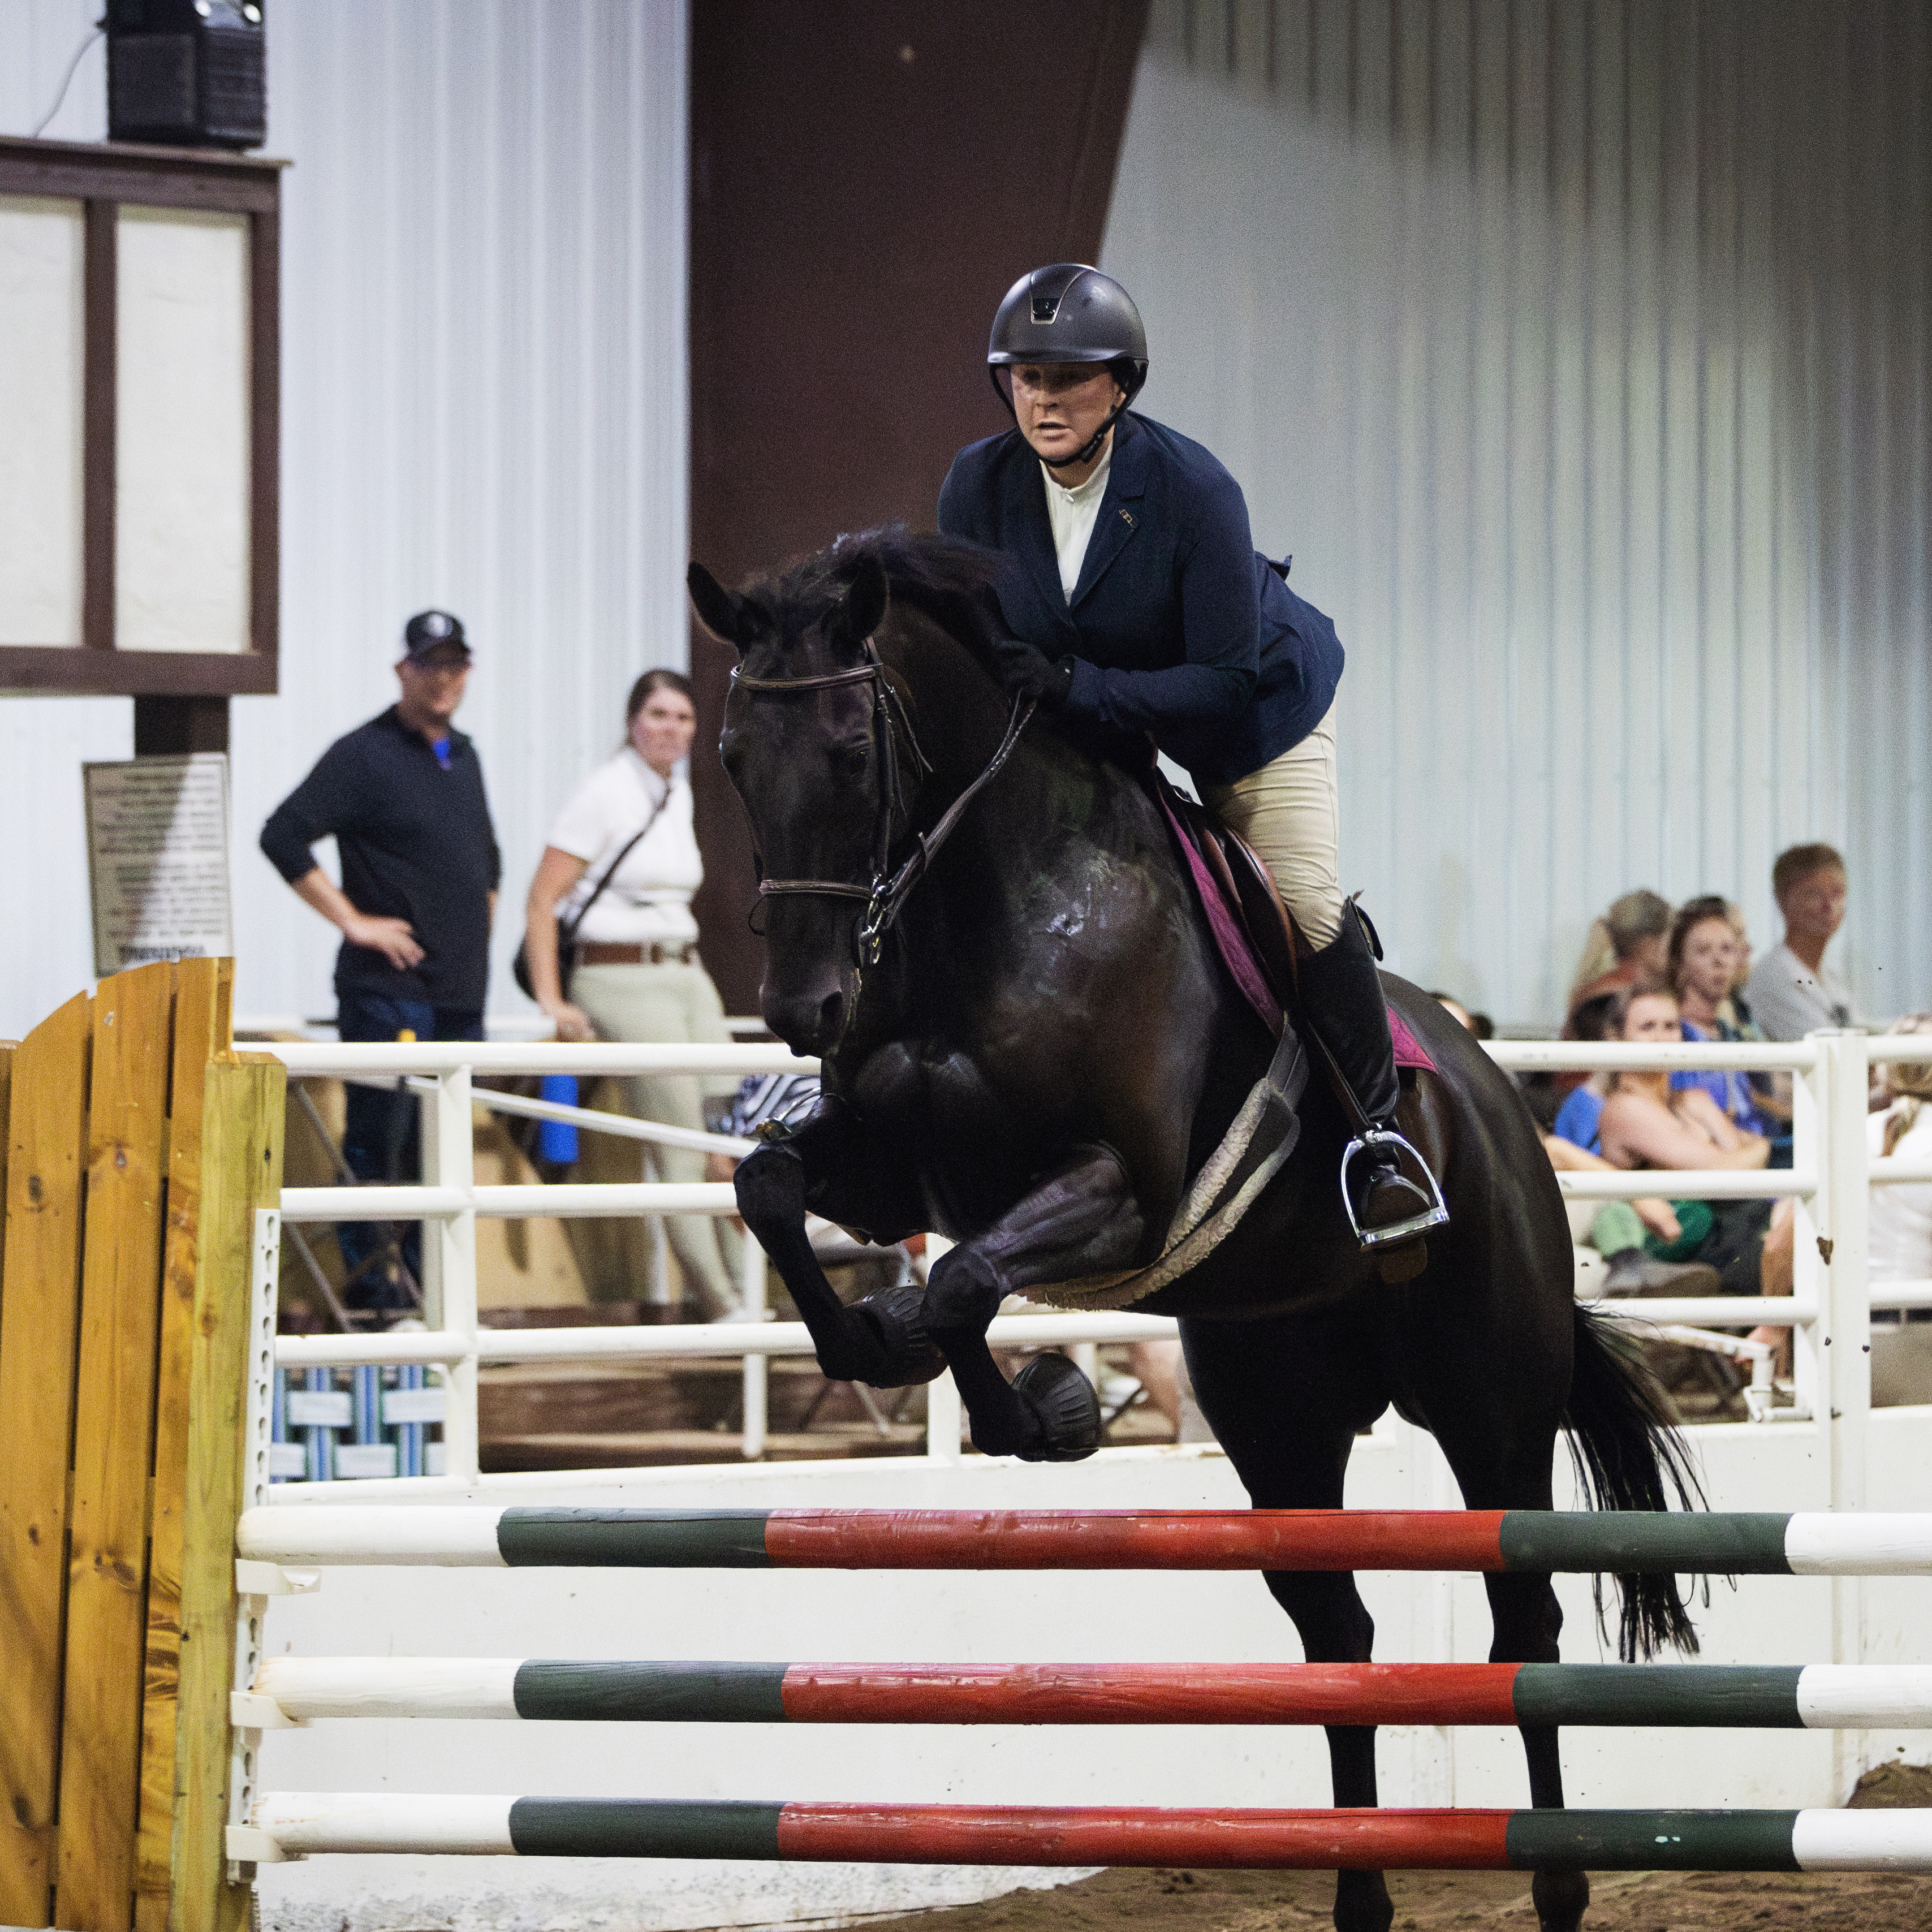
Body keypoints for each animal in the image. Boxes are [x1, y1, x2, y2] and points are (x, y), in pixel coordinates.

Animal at [691, 529, 1692, 1932]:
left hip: (1492, 1401)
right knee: (1337, 1636)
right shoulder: (891, 1174)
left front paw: (1040, 1407)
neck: (988, 906)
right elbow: (777, 1192)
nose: (800, 1007)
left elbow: (962, 1285)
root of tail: (1501, 1102)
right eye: (733, 755)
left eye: (848, 750)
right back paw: (1361, 1895)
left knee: (1524, 1619)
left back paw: (1552, 1883)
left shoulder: (1122, 1186)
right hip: (1279, 1412)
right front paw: (890, 1346)